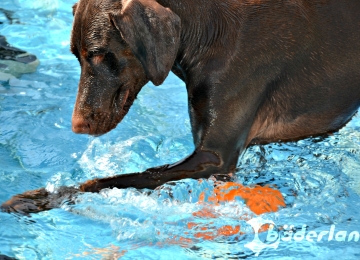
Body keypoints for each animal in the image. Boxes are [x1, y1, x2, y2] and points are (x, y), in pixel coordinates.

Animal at [0, 0, 360, 213]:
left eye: (101, 54)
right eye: (76, 55)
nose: (77, 126)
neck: (208, 33)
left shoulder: (214, 159)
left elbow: (108, 180)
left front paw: (38, 198)